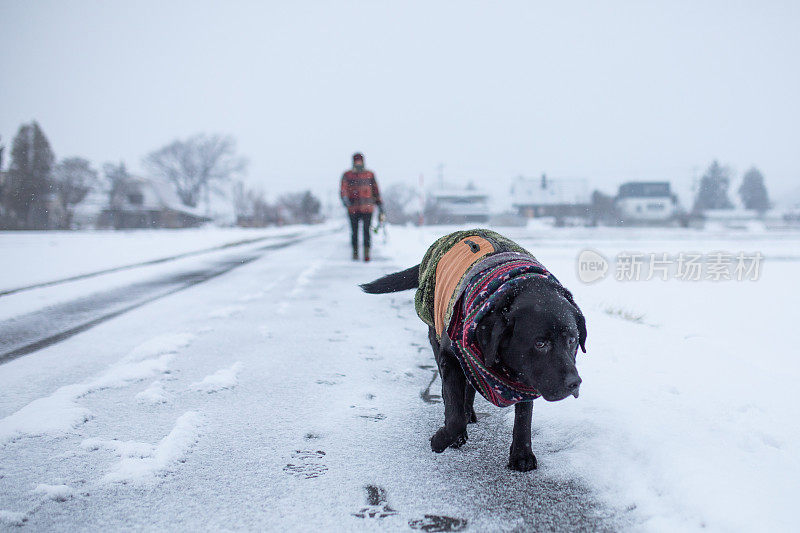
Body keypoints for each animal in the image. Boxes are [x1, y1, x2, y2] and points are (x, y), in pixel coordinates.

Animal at [360, 229, 584, 470]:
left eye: (572, 340)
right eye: (540, 343)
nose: (574, 383)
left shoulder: (526, 375)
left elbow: (524, 414)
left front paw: (522, 455)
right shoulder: (450, 357)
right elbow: (454, 413)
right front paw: (443, 439)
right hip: (436, 334)